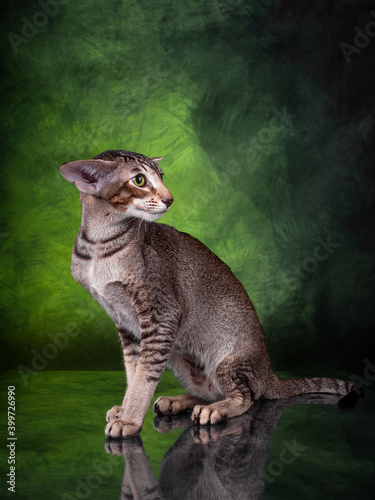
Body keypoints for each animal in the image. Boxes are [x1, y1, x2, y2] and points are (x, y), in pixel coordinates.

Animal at [60, 148, 362, 438]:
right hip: (179, 356)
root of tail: (268, 373)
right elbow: (133, 373)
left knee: (247, 398)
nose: (169, 199)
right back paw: (177, 401)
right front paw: (125, 410)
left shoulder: (161, 315)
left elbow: (144, 377)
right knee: (210, 391)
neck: (99, 245)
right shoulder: (126, 325)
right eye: (139, 180)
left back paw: (215, 409)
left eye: (162, 176)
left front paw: (130, 420)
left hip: (226, 361)